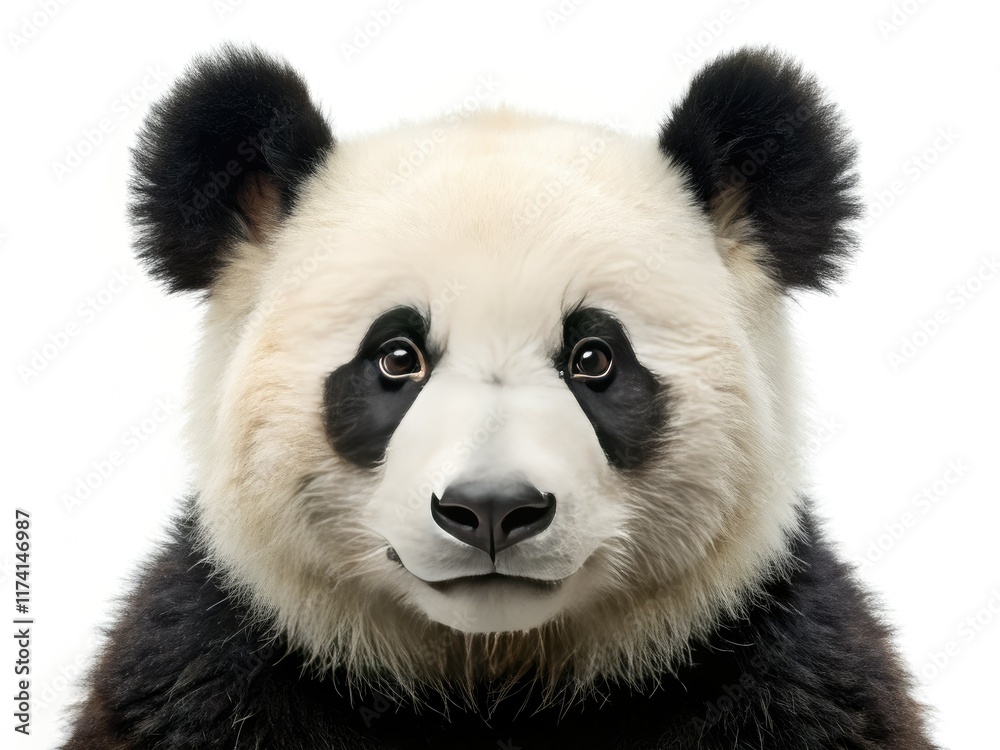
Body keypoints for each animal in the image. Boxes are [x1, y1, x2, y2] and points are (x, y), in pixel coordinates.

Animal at [63, 45, 938, 749]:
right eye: (397, 358)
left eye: (594, 358)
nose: (490, 509)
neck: (491, 677)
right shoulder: (221, 669)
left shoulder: (774, 671)